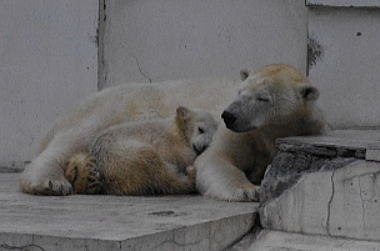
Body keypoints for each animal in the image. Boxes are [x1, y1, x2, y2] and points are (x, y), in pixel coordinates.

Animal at [63, 107, 215, 195]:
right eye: (200, 129)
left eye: (212, 138)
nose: (202, 147)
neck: (176, 129)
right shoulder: (165, 139)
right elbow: (180, 155)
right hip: (127, 155)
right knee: (157, 169)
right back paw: (190, 175)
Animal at [194, 64, 326, 202]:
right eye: (239, 91)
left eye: (262, 98)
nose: (229, 116)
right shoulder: (241, 135)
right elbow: (216, 157)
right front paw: (249, 190)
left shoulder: (309, 129)